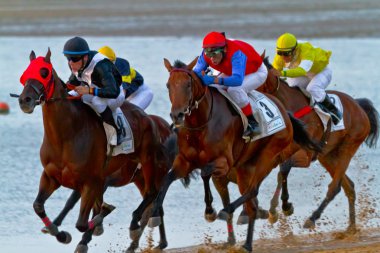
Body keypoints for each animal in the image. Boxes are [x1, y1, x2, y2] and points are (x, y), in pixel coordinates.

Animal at [17, 49, 177, 251]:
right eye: (25, 73)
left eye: (44, 72)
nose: (25, 100)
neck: (67, 135)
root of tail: (156, 123)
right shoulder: (51, 176)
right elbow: (38, 206)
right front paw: (59, 232)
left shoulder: (92, 181)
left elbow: (83, 222)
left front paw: (97, 222)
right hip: (141, 177)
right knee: (154, 202)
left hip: (151, 165)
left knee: (153, 194)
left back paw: (135, 227)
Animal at [147, 57, 322, 253]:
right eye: (168, 85)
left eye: (188, 85)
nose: (177, 115)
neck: (202, 124)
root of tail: (284, 111)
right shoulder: (184, 161)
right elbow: (167, 179)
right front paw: (153, 214)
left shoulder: (224, 162)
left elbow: (205, 172)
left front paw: (210, 210)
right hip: (245, 167)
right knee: (251, 201)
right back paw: (246, 243)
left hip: (268, 156)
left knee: (253, 190)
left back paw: (229, 211)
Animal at [260, 56, 378, 232]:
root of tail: (358, 106)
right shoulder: (282, 153)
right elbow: (281, 173)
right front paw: (275, 210)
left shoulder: (306, 155)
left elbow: (284, 169)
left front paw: (284, 207)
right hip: (327, 156)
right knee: (349, 186)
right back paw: (351, 227)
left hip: (348, 148)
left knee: (334, 187)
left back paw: (312, 218)